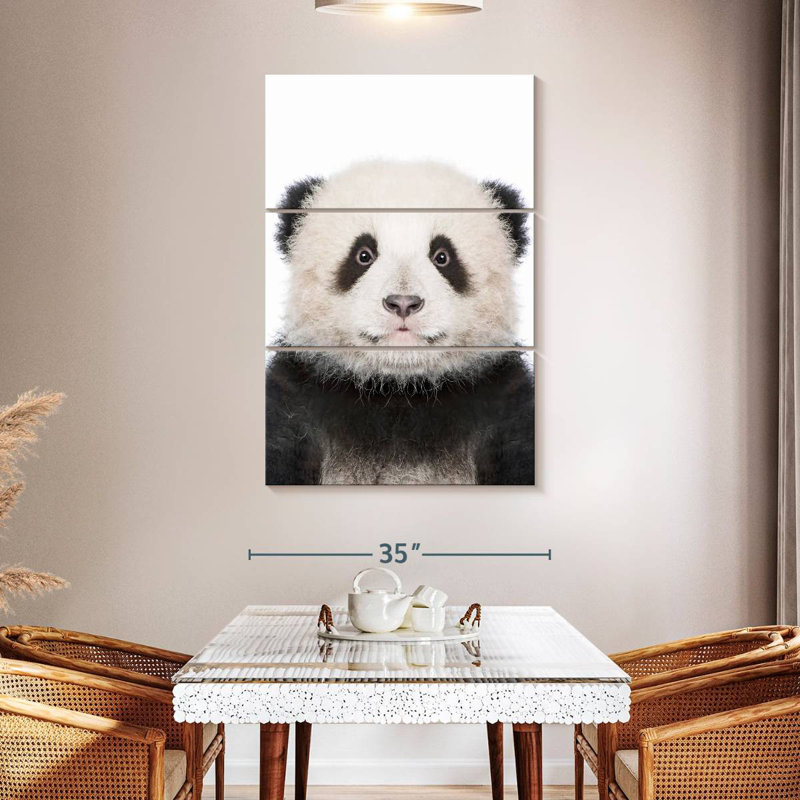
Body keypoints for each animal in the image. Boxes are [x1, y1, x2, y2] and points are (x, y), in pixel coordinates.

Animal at [266, 160, 534, 485]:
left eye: (442, 256)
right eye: (363, 255)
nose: (403, 302)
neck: (399, 390)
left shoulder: (503, 404)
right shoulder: (295, 401)